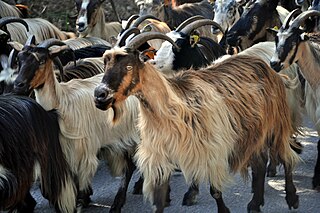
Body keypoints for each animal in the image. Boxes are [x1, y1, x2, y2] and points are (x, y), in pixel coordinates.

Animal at [12, 37, 140, 212]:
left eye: (42, 60)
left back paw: (120, 202)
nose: (19, 85)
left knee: (133, 164)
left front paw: (81, 202)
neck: (61, 103)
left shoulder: (82, 150)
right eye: (19, 59)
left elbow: (81, 184)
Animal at [94, 32, 302, 213]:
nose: (99, 95)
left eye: (128, 66)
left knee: (286, 157)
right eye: (105, 64)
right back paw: (255, 204)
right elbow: (159, 200)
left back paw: (292, 199)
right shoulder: (161, 156)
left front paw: (223, 210)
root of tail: (270, 69)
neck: (171, 107)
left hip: (276, 123)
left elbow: (215, 190)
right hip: (253, 129)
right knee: (260, 163)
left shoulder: (211, 149)